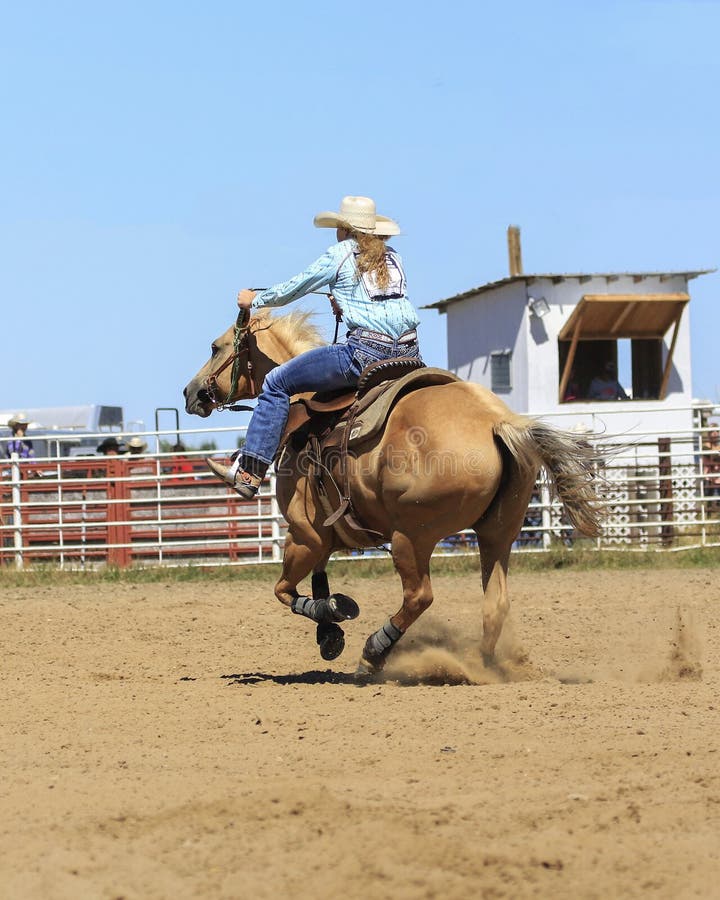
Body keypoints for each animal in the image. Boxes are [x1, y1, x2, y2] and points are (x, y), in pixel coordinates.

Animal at [184, 312, 600, 680]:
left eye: (216, 347)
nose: (191, 391)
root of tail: (496, 422)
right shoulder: (330, 534)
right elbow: (317, 576)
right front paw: (329, 633)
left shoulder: (305, 533)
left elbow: (283, 590)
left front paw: (333, 613)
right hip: (498, 534)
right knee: (495, 603)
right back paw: (483, 667)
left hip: (411, 537)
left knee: (419, 596)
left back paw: (373, 655)